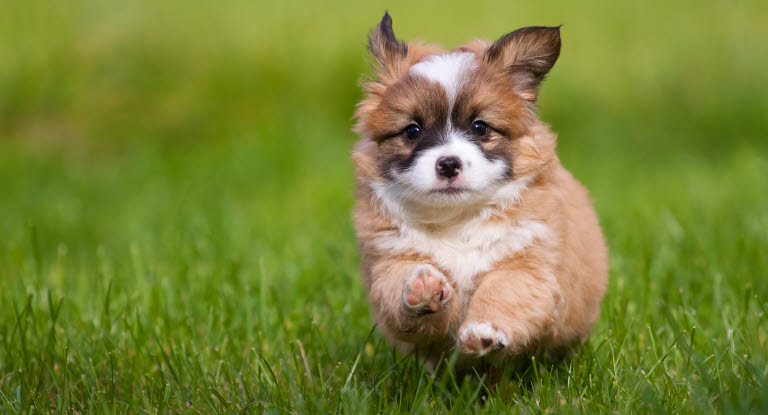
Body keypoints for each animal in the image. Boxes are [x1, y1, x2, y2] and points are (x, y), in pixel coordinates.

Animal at [352, 12, 608, 368]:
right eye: (412, 131)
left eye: (480, 127)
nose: (448, 164)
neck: (457, 220)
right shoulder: (388, 260)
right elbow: (398, 287)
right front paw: (422, 287)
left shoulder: (527, 267)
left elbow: (501, 292)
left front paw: (483, 332)